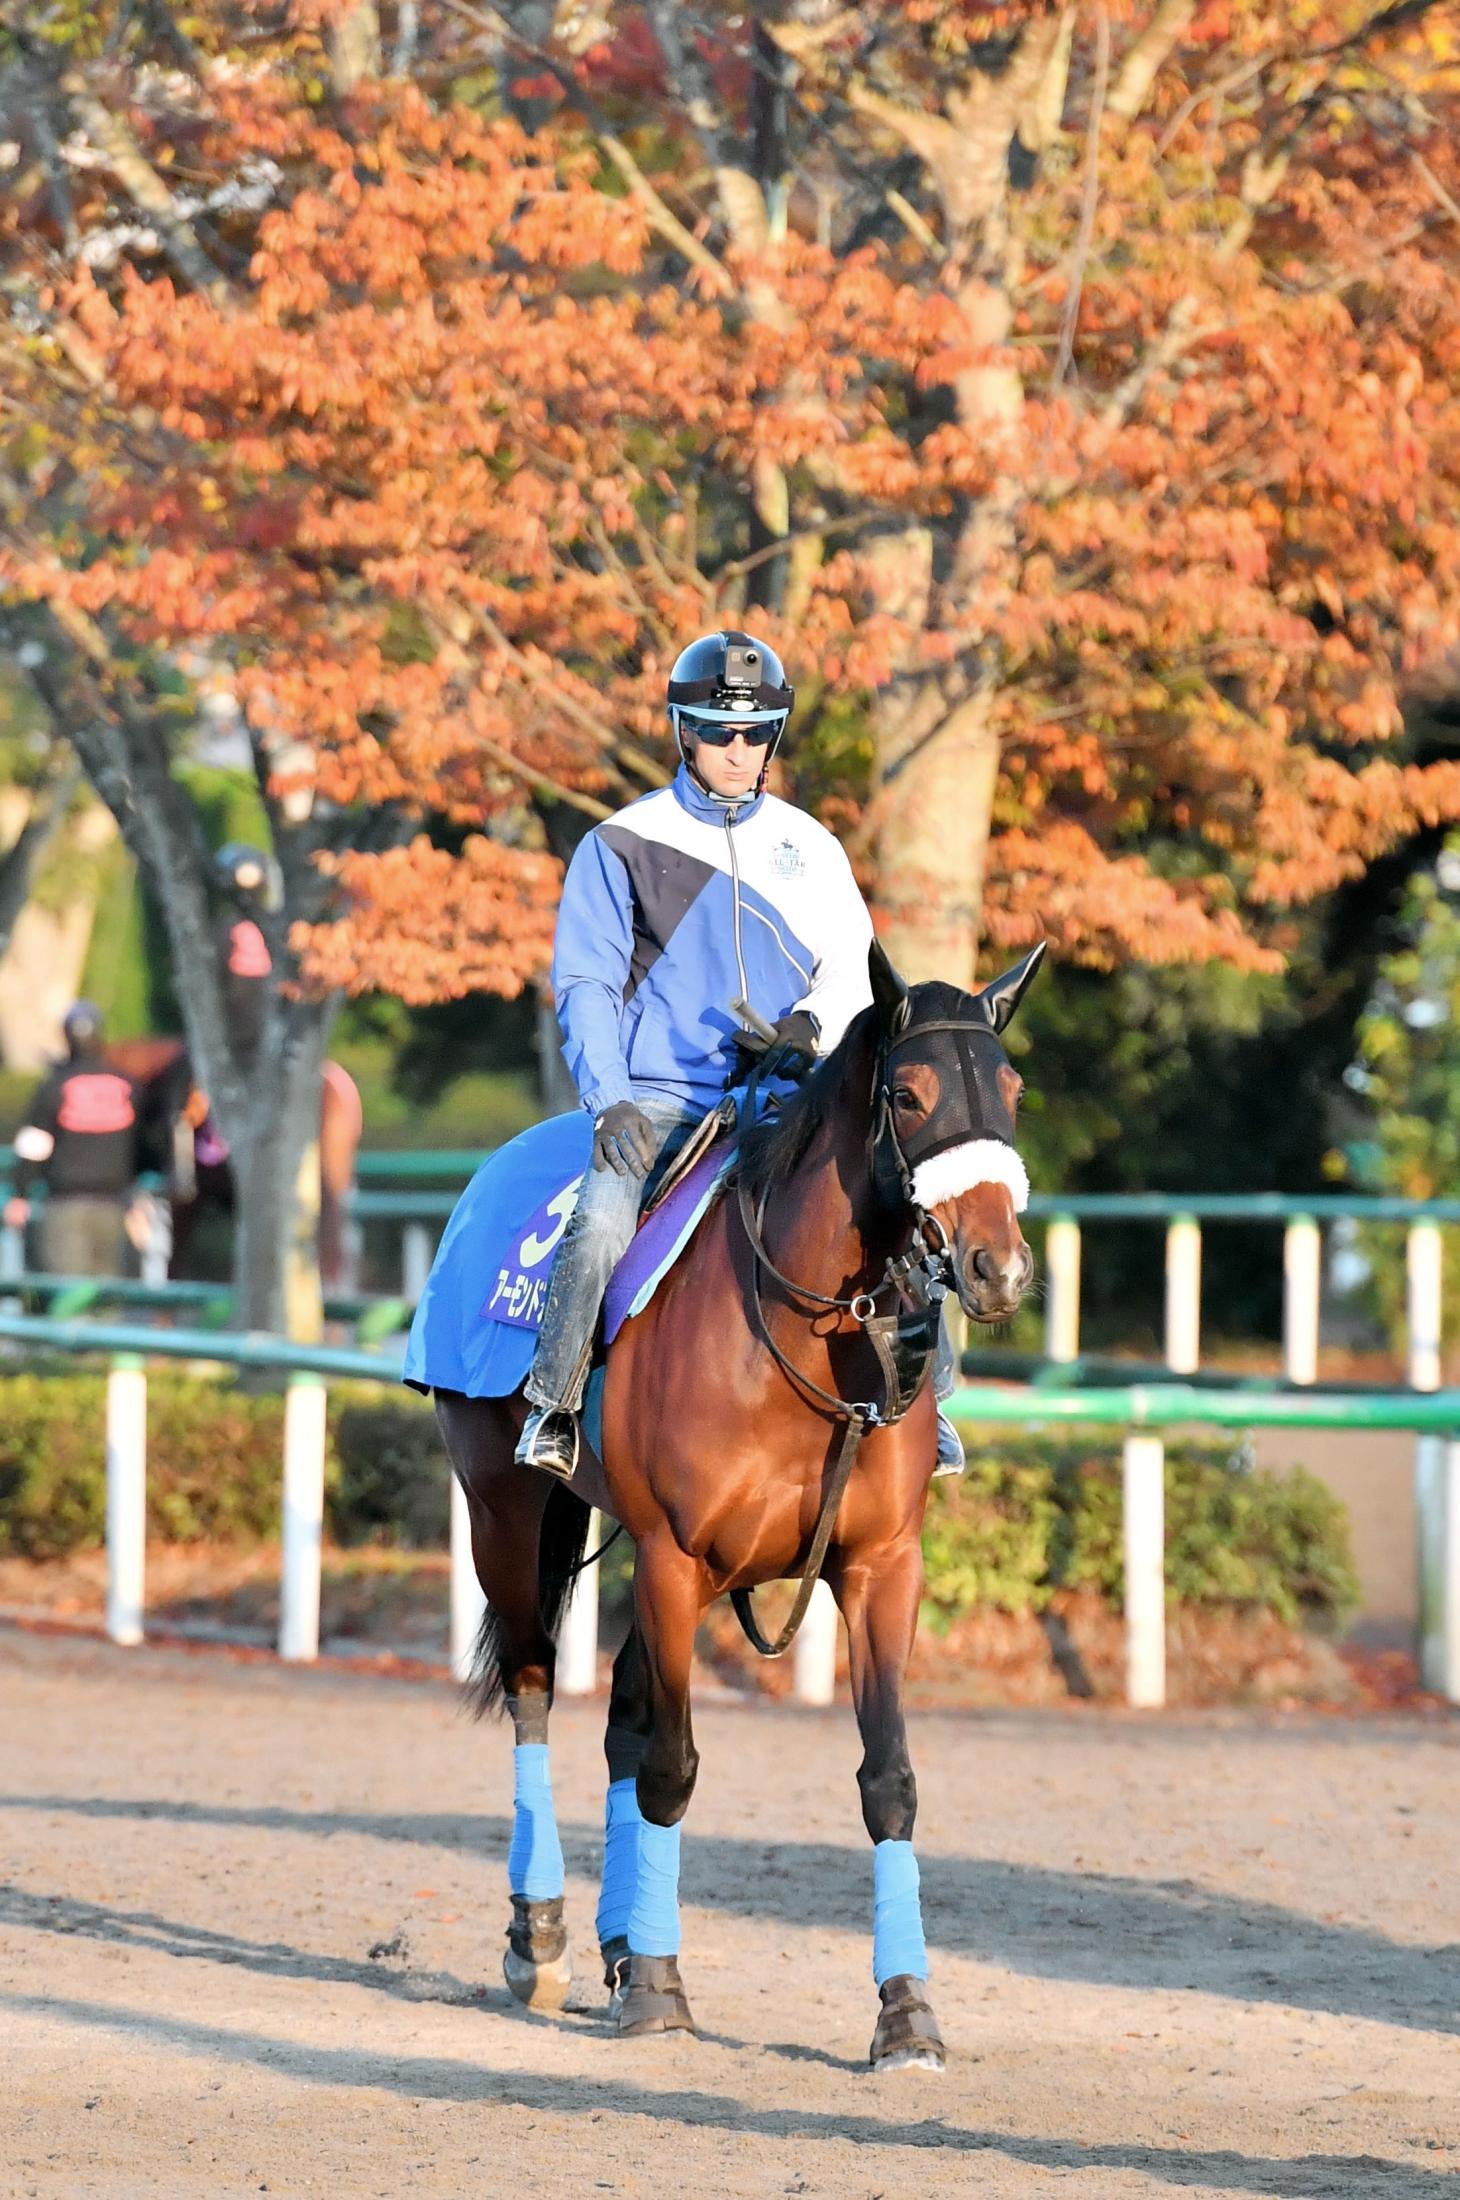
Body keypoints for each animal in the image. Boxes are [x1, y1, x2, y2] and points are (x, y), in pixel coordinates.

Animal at [422, 937, 1037, 2068]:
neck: (801, 1335)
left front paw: (905, 2011)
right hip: (503, 1511)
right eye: (909, 1092)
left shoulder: (879, 1569)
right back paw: (543, 1939)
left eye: (1010, 1090)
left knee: (621, 1713)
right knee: (534, 1686)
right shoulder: (675, 1558)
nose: (998, 1266)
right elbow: (671, 1765)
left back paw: (620, 1940)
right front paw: (661, 1990)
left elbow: (887, 1779)